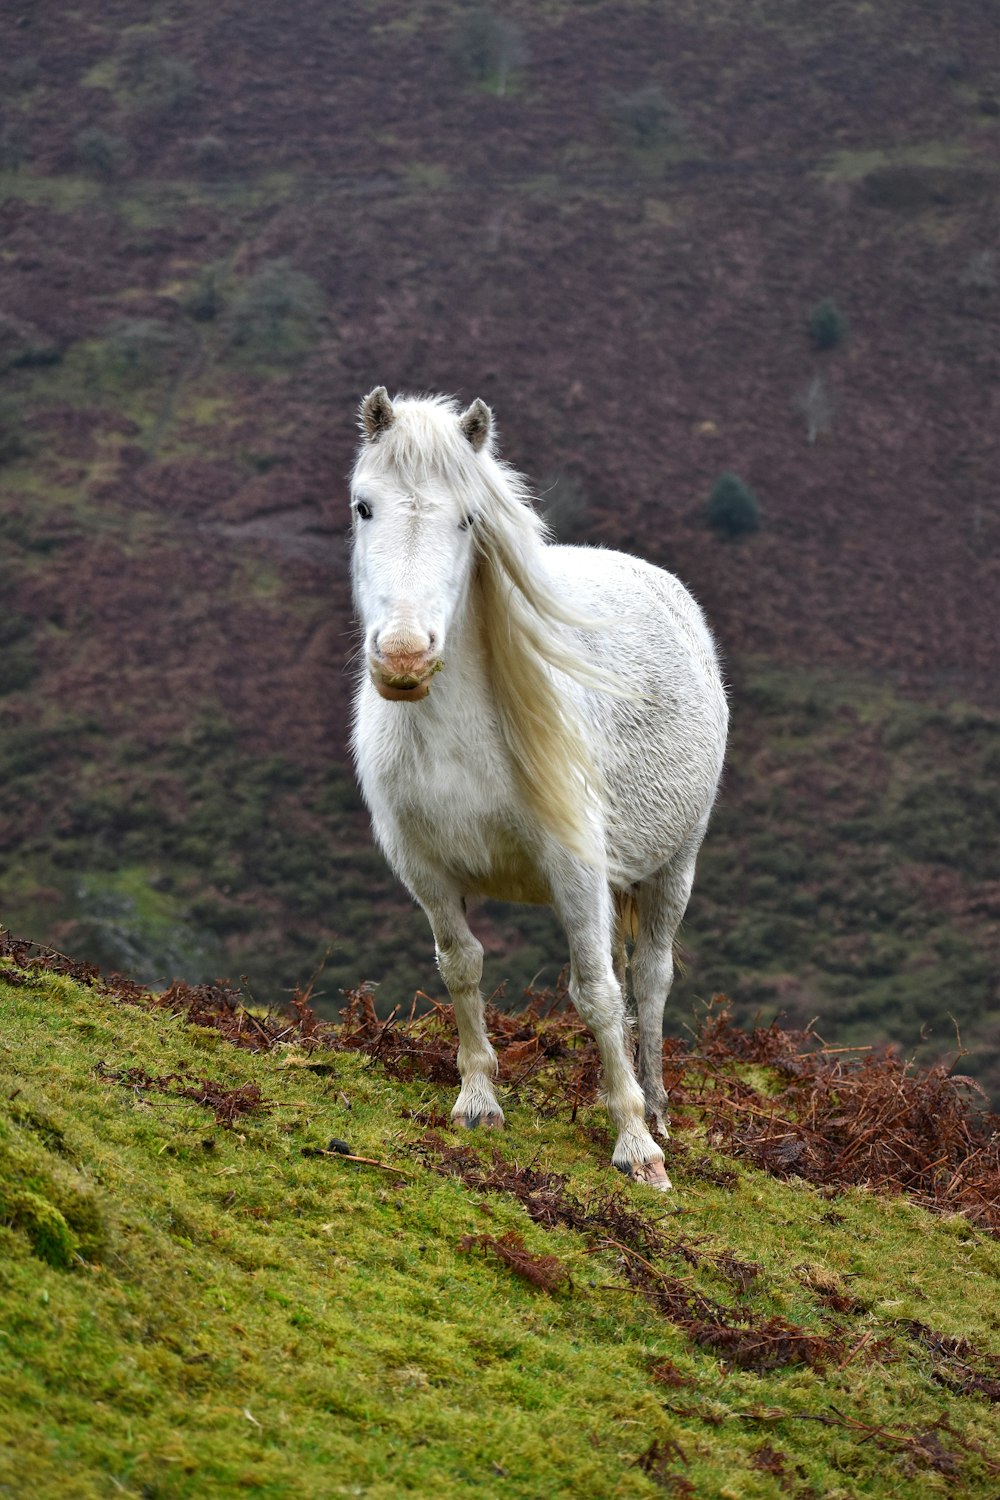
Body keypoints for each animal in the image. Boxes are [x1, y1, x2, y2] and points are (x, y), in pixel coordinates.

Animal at [352, 393, 728, 1188]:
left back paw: (656, 1108)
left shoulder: (574, 866)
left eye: (469, 518)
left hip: (674, 865)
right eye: (364, 506)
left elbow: (598, 993)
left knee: (648, 981)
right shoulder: (425, 870)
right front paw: (477, 1100)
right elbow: (461, 966)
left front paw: (635, 1146)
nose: (403, 657)